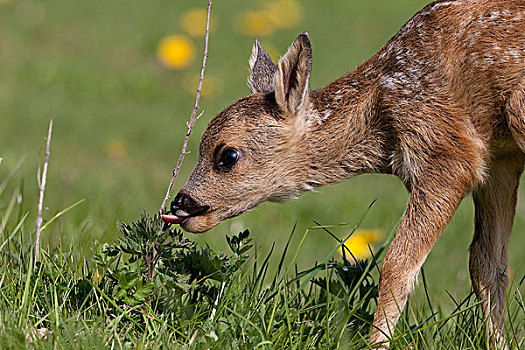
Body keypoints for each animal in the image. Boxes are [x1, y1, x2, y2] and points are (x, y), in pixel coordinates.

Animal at [162, 0, 520, 348]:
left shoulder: (448, 153)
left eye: (228, 155)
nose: (180, 203)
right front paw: (500, 343)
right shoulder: (497, 161)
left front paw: (377, 343)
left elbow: (397, 263)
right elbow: (486, 264)